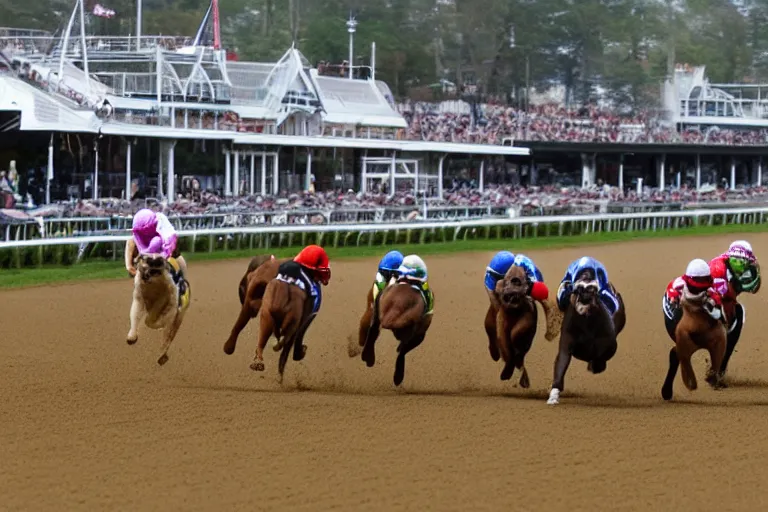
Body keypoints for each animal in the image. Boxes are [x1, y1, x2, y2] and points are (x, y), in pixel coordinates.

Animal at [544, 270, 624, 406]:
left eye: (592, 289)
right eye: (578, 289)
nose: (585, 295)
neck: (587, 322)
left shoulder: (610, 345)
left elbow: (600, 358)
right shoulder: (567, 344)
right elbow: (561, 364)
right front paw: (553, 397)